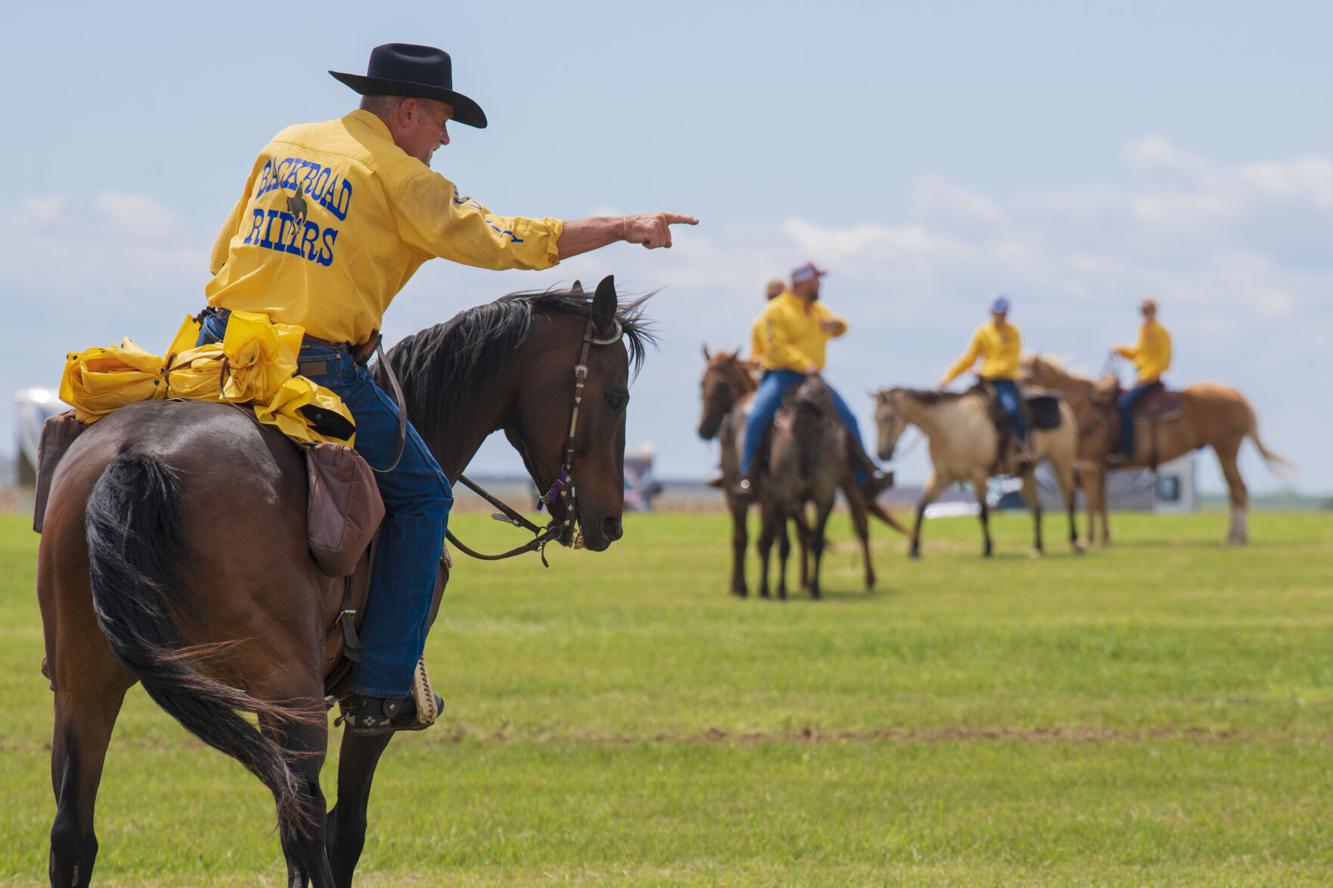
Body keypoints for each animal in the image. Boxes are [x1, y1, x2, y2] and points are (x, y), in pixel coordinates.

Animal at [36, 277, 650, 885]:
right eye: (616, 397)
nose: (610, 523)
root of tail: (137, 456)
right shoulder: (367, 707)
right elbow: (346, 830)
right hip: (288, 690)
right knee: (305, 821)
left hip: (85, 686)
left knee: (73, 834)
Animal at [698, 346, 885, 594]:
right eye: (702, 383)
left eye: (724, 386)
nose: (704, 428)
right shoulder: (786, 497)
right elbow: (785, 538)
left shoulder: (767, 497)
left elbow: (761, 539)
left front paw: (748, 586)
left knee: (859, 527)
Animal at [874, 386, 1082, 557]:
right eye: (874, 418)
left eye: (888, 417)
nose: (882, 454)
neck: (948, 427)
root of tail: (1061, 403)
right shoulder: (943, 475)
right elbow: (921, 506)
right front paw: (914, 549)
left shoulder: (978, 474)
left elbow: (982, 511)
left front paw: (988, 548)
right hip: (1027, 471)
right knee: (1037, 508)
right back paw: (1037, 547)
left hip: (1060, 460)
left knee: (1069, 498)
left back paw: (1075, 542)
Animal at [1018, 354, 1290, 546]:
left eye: (1026, 378)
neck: (1086, 408)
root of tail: (1239, 397)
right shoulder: (1100, 467)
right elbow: (1102, 502)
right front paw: (1105, 536)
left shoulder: (1089, 464)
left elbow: (1092, 503)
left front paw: (1090, 538)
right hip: (1224, 452)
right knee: (1234, 491)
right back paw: (1233, 535)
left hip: (1225, 450)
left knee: (1238, 490)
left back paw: (1236, 537)